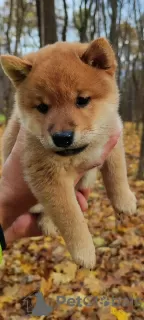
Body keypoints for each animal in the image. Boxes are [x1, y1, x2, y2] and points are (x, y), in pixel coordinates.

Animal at [0, 39, 136, 270]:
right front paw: (84, 251)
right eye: (42, 107)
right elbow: (69, 215)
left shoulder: (113, 136)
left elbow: (117, 174)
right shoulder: (45, 173)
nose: (62, 137)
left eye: (82, 100)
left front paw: (125, 200)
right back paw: (47, 221)